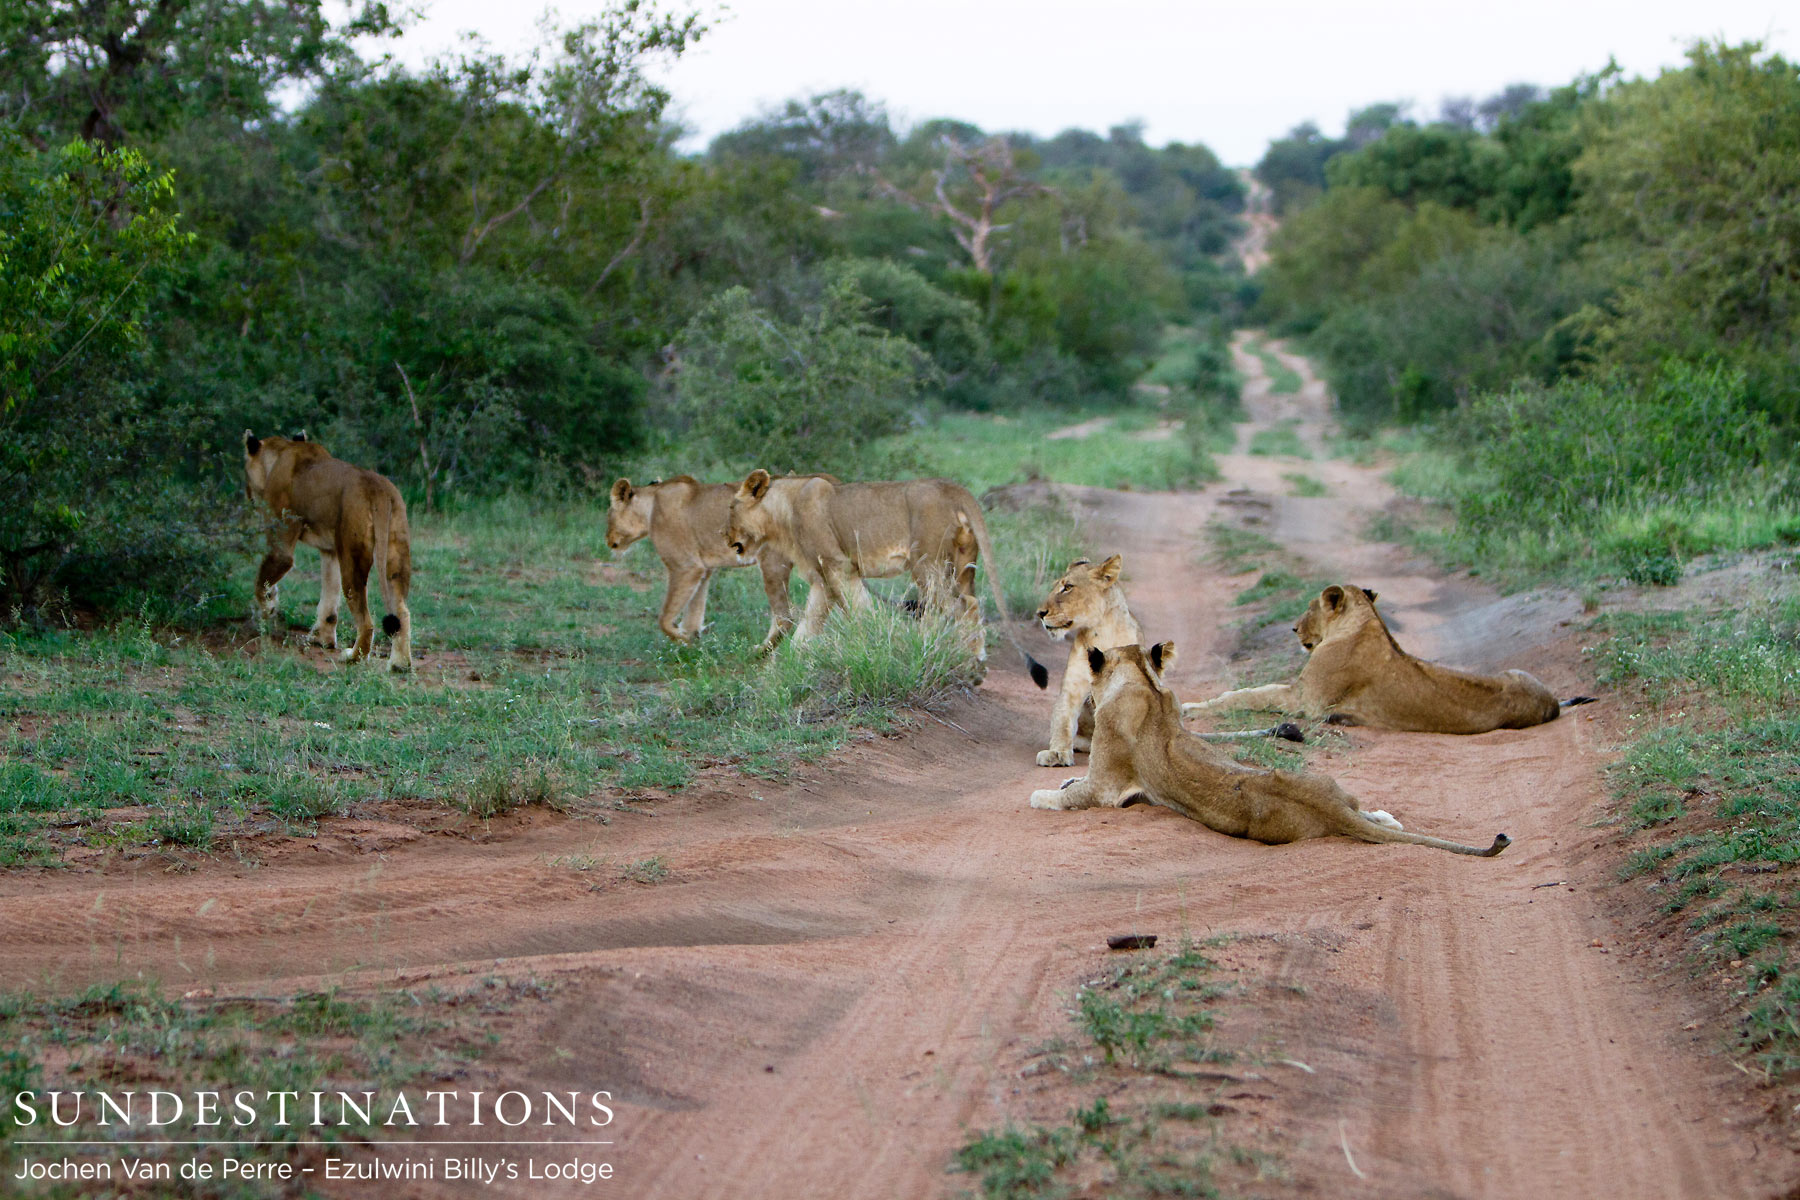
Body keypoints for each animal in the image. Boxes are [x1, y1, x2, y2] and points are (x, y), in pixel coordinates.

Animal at [242, 432, 412, 671]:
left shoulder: (281, 543)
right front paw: (323, 639)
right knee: (402, 612)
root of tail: (377, 488)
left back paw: (353, 657)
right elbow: (329, 599)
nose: (247, 494)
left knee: (367, 622)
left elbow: (261, 583)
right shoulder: (330, 550)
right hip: (395, 553)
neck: (282, 451)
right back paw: (399, 664)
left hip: (353, 557)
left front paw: (269, 608)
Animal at [607, 476, 796, 651]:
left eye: (609, 517)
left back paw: (758, 653)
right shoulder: (704, 570)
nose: (607, 541)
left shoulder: (686, 567)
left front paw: (684, 639)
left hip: (772, 562)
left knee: (785, 617)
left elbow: (664, 618)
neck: (650, 507)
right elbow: (694, 609)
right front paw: (693, 641)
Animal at [727, 469, 1048, 684]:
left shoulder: (838, 565)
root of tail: (953, 488)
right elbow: (808, 627)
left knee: (959, 606)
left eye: (730, 508)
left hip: (926, 563)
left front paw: (875, 648)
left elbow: (860, 611)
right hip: (962, 566)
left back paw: (964, 663)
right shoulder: (821, 581)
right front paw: (786, 665)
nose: (724, 536)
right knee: (962, 603)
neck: (782, 512)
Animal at [1031, 641, 1510, 857]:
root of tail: (1326, 806)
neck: (1143, 682)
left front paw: (1042, 793)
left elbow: (1067, 795)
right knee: (1364, 810)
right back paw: (1385, 817)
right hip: (1328, 782)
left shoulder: (1107, 788)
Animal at [1182, 584, 1588, 733]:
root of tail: (1553, 703)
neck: (1365, 623)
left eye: (1311, 607)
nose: (1293, 629)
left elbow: (1250, 694)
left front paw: (1194, 706)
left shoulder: (1304, 699)